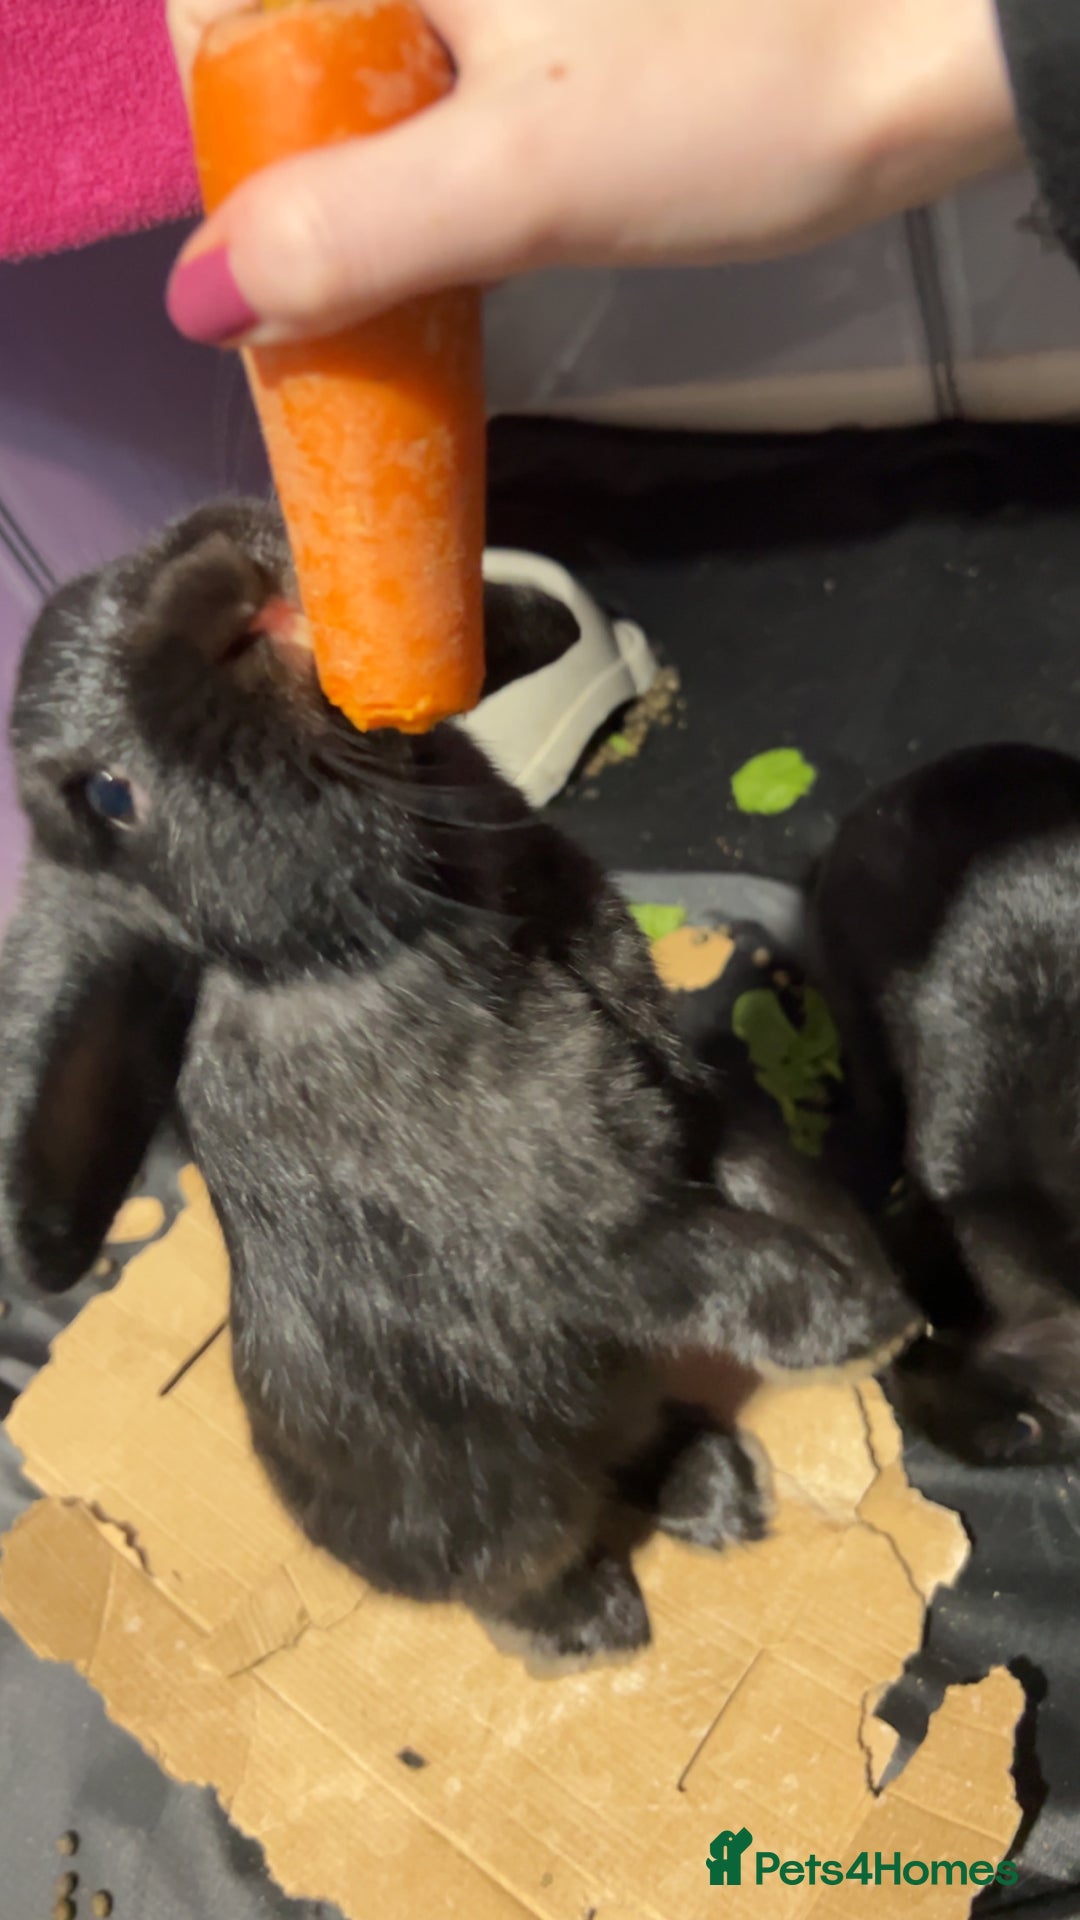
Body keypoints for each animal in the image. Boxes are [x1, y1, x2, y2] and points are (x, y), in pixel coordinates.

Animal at [0, 499, 912, 1667]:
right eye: (111, 797)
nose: (215, 580)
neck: (400, 923)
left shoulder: (693, 1112)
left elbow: (766, 1175)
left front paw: (878, 1281)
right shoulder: (583, 1240)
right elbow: (717, 1259)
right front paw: (859, 1325)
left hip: (620, 1395)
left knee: (633, 1447)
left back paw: (718, 1490)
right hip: (509, 1506)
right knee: (521, 1579)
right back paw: (600, 1627)